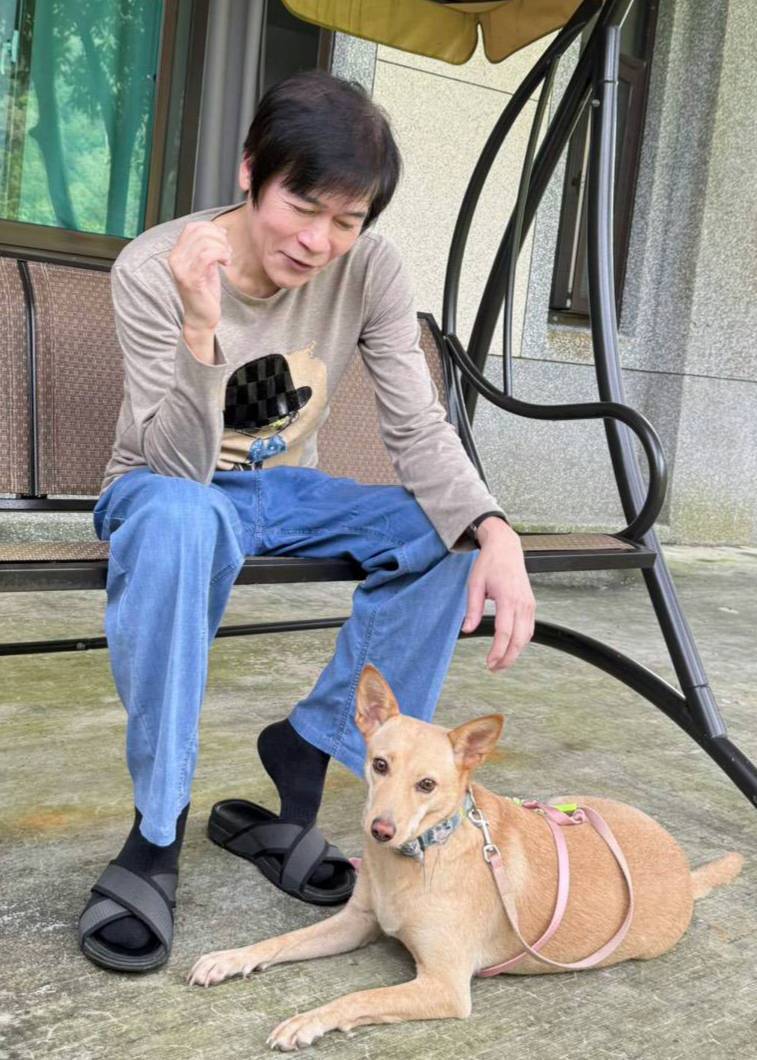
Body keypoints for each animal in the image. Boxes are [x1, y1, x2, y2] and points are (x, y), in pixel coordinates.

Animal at [189, 664, 744, 1050]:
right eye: (379, 765)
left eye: (427, 785)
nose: (380, 830)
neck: (418, 856)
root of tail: (685, 872)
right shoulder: (354, 924)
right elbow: (280, 941)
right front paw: (229, 958)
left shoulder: (444, 986)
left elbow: (359, 998)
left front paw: (307, 1021)